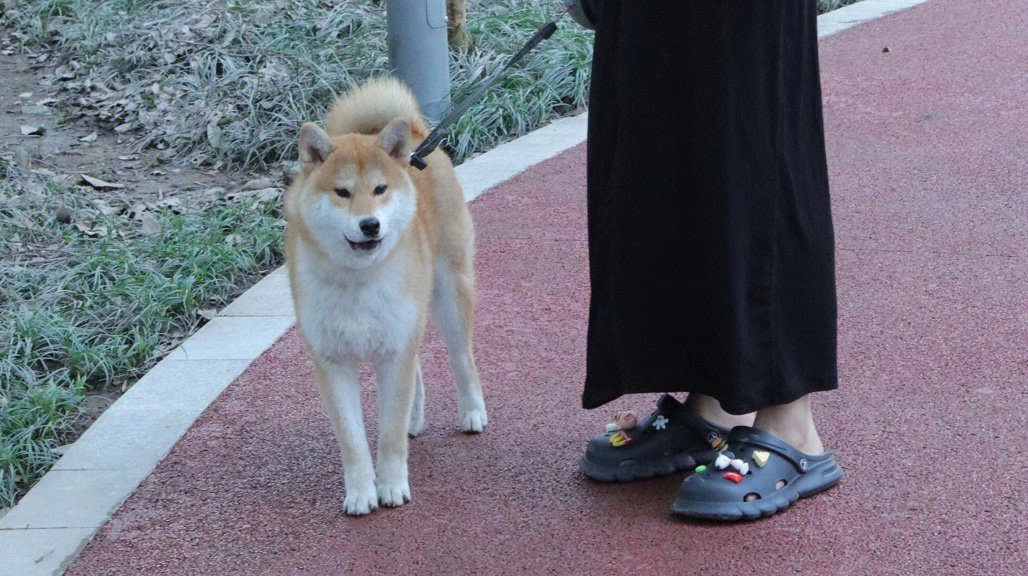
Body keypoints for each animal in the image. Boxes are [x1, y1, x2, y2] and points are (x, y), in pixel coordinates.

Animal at [285, 77, 485, 518]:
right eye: (342, 192)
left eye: (379, 190)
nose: (370, 224)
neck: (357, 281)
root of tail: (417, 140)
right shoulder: (333, 364)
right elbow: (354, 442)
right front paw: (362, 492)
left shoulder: (395, 353)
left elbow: (388, 436)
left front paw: (391, 485)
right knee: (420, 370)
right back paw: (416, 419)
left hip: (450, 293)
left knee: (461, 358)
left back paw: (472, 411)